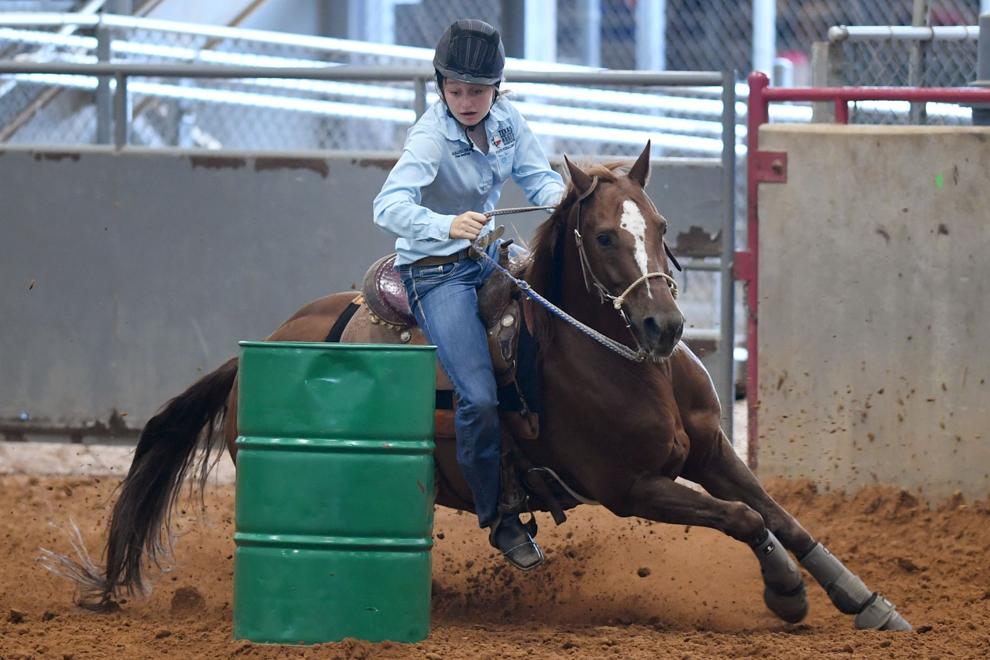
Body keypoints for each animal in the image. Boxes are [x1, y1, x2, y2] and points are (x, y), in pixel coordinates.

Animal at [46, 143, 911, 632]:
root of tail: (254, 350)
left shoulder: (710, 450)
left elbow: (782, 517)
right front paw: (785, 594)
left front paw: (865, 600)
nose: (666, 325)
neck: (620, 362)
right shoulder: (632, 487)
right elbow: (743, 519)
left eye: (662, 228)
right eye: (606, 236)